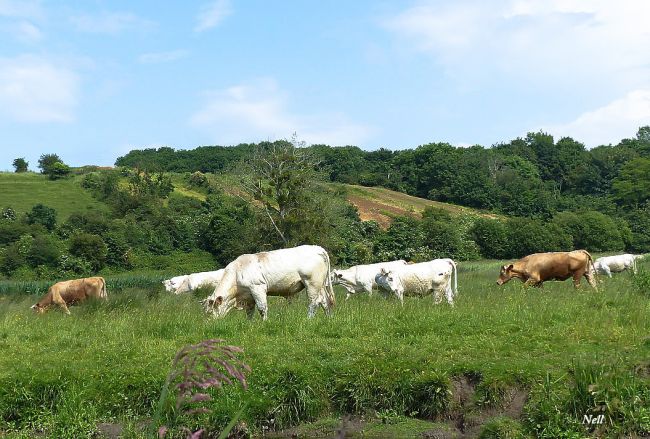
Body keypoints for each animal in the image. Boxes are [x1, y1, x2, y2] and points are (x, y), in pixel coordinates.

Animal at [202, 246, 334, 322]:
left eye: (210, 312)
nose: (208, 323)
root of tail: (318, 249)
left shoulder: (257, 288)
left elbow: (262, 308)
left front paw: (264, 322)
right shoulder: (248, 296)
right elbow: (249, 311)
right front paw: (249, 324)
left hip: (312, 283)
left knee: (314, 302)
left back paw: (308, 319)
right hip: (320, 285)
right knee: (324, 301)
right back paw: (328, 319)